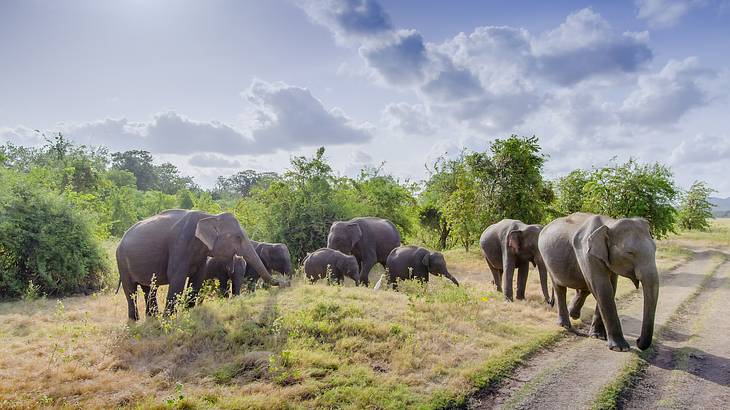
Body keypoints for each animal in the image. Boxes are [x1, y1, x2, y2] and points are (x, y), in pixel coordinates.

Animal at [114, 208, 284, 320]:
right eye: (238, 237)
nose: (283, 283)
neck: (209, 216)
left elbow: (197, 278)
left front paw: (188, 313)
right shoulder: (179, 244)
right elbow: (177, 277)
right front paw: (168, 319)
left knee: (149, 288)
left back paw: (152, 317)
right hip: (121, 261)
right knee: (130, 290)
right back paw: (135, 320)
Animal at [536, 213, 660, 350]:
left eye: (655, 249)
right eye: (629, 253)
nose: (638, 341)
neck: (610, 224)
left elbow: (611, 288)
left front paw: (598, 336)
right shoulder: (587, 253)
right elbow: (603, 288)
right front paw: (620, 348)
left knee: (585, 288)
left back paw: (573, 313)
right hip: (546, 258)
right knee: (560, 288)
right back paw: (565, 325)